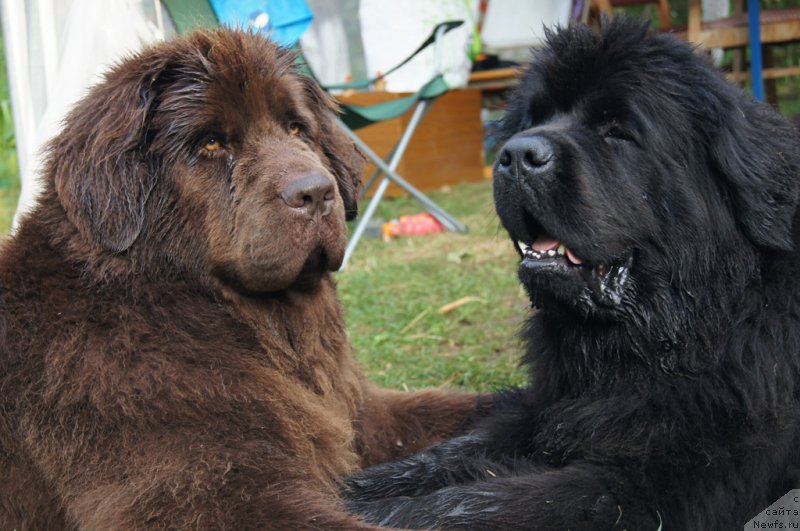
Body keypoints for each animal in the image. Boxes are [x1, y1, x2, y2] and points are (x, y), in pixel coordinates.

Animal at [0, 30, 478, 531]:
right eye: (210, 144)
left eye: (297, 129)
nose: (315, 192)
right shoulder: (208, 491)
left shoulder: (357, 413)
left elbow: (462, 407)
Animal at [346, 17, 800, 531]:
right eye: (532, 120)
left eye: (618, 130)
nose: (516, 155)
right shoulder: (543, 409)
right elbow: (451, 452)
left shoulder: (674, 483)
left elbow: (490, 501)